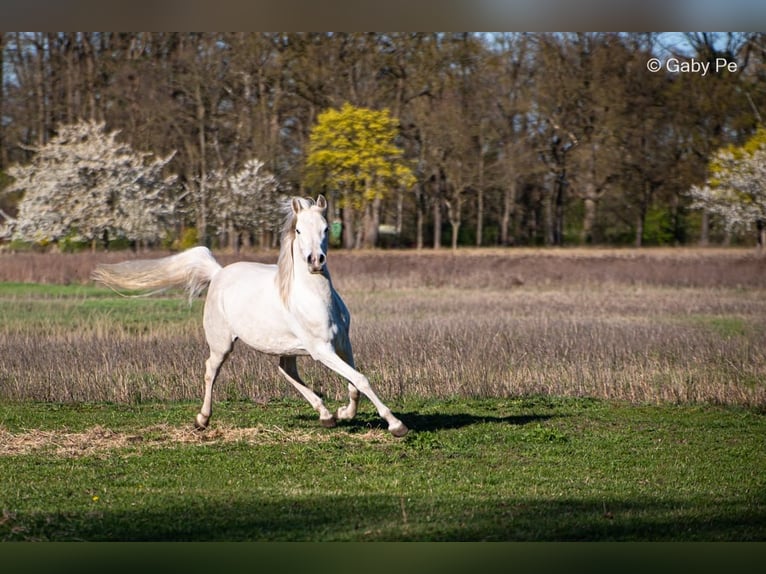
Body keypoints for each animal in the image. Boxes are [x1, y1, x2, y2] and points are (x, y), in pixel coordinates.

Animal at [92, 195, 408, 437]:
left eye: (327, 228)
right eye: (298, 231)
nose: (315, 261)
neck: (316, 299)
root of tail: (218, 273)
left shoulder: (343, 344)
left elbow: (355, 383)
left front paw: (344, 413)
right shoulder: (322, 351)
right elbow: (362, 380)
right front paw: (396, 425)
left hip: (287, 347)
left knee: (285, 371)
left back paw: (326, 415)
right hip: (222, 344)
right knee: (211, 371)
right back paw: (202, 420)